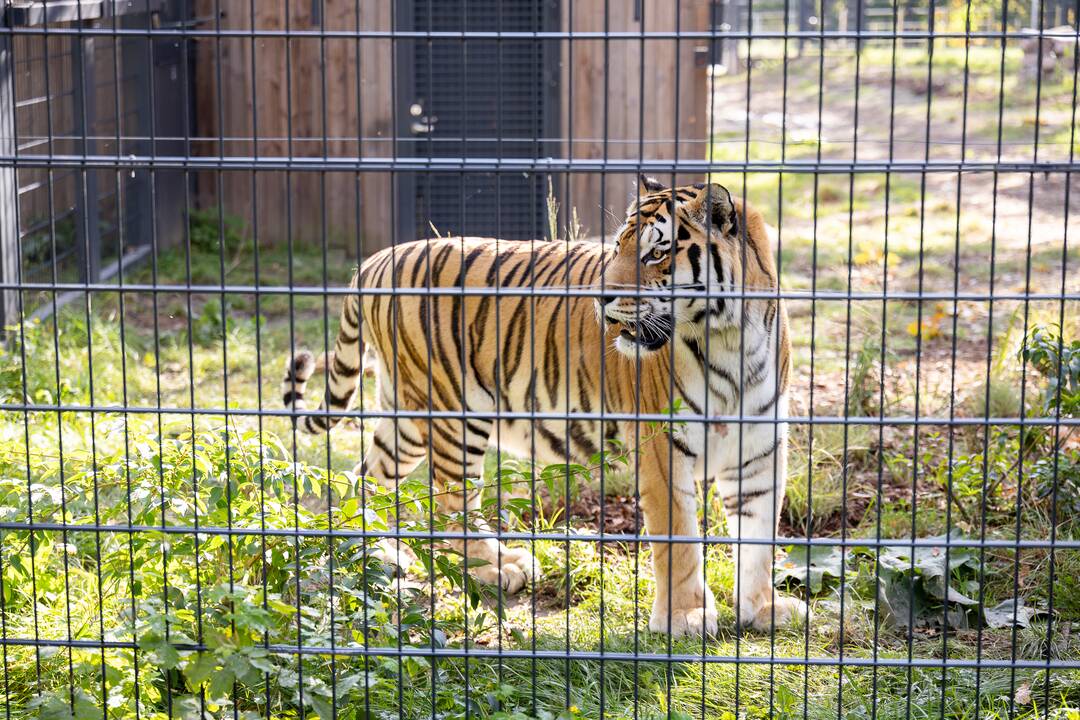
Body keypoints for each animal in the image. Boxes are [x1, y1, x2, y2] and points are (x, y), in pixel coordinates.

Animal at [282, 179, 807, 634]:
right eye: (618, 247)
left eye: (657, 252)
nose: (601, 298)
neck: (730, 338)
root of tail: (375, 259)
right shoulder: (662, 449)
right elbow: (678, 540)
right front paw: (686, 617)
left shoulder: (760, 452)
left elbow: (758, 539)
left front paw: (762, 608)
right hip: (453, 412)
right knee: (451, 501)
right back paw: (498, 566)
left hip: (407, 416)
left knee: (367, 476)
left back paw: (381, 555)